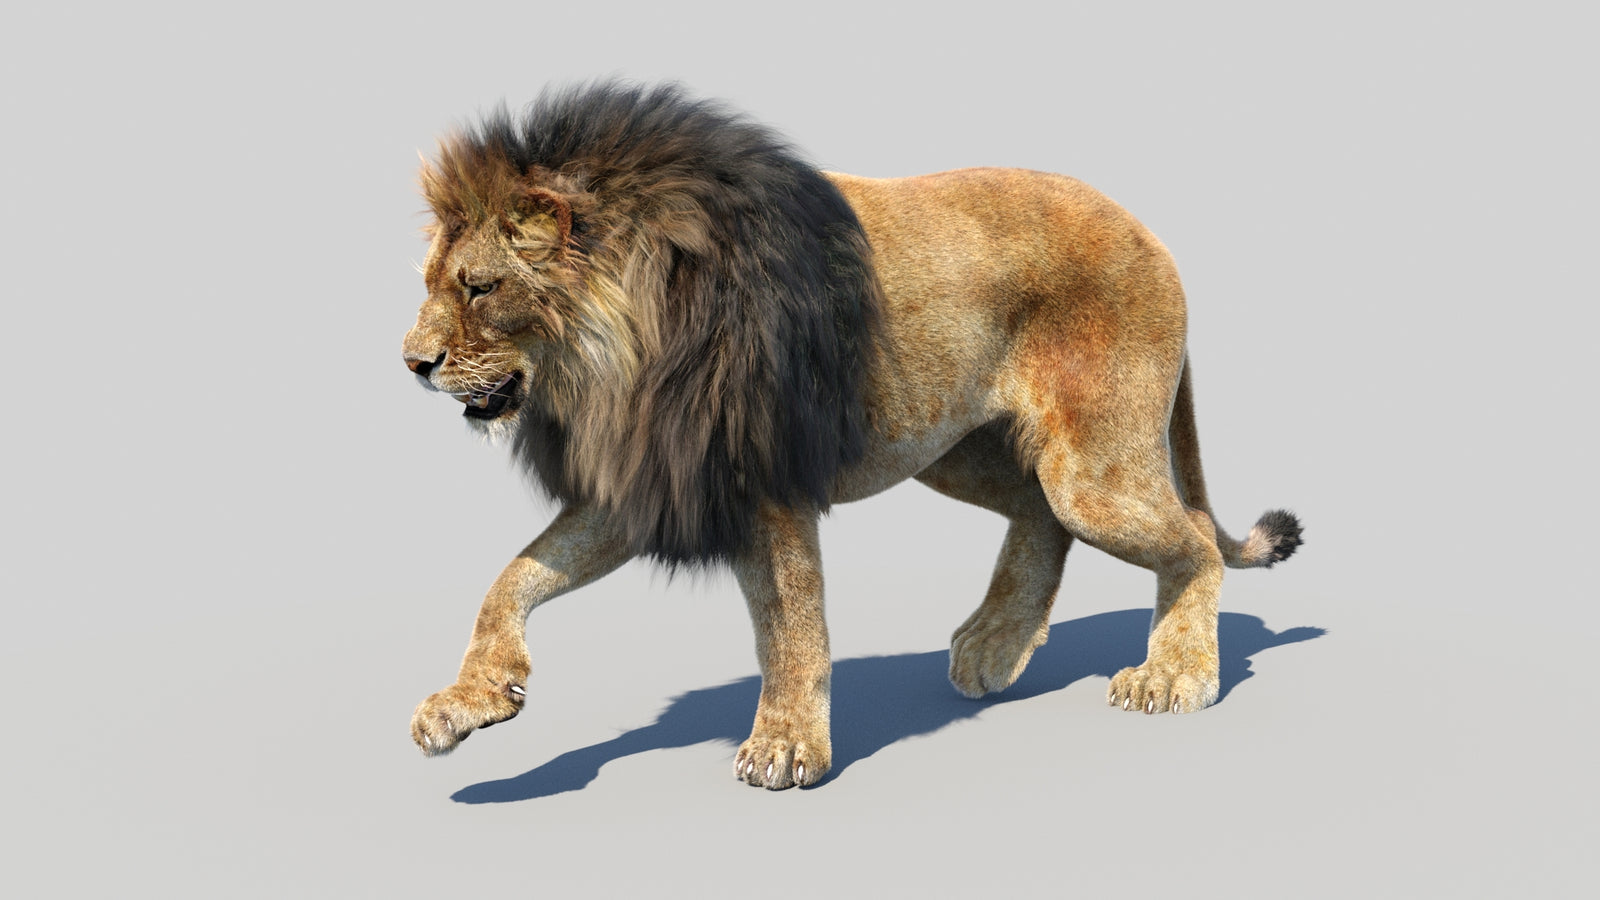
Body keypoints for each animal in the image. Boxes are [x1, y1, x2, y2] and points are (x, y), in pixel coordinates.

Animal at [403, 82, 1302, 790]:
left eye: (479, 288)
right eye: (433, 284)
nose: (411, 361)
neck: (607, 363)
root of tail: (1152, 234)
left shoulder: (762, 481)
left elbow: (793, 625)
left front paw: (786, 747)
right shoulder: (649, 477)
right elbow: (511, 580)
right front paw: (468, 704)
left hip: (1092, 467)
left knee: (1191, 540)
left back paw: (1174, 675)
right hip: (958, 447)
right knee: (1041, 516)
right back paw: (995, 647)